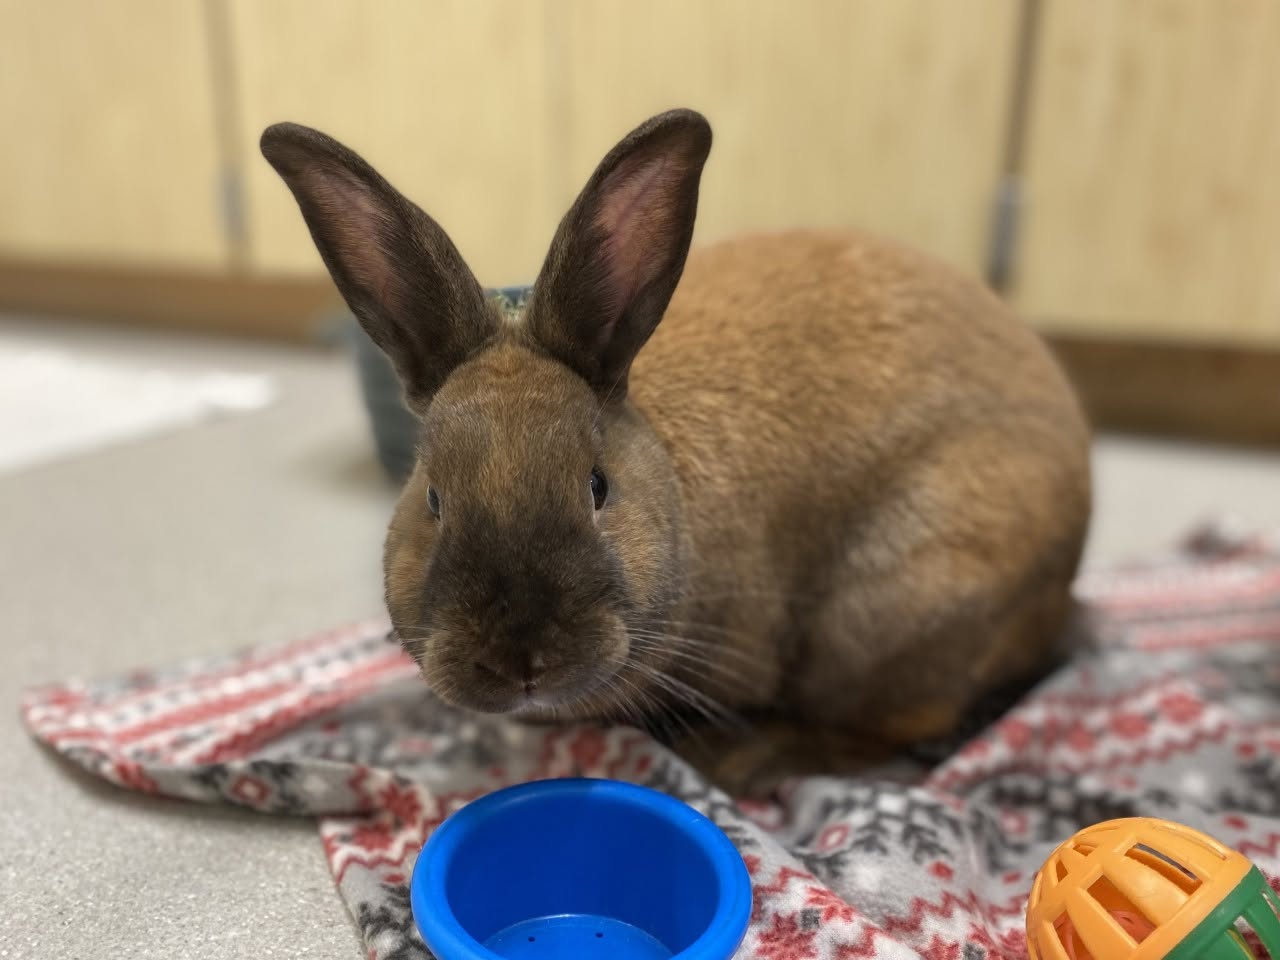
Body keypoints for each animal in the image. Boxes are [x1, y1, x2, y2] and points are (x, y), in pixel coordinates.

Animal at [261, 109, 1091, 792]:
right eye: (432, 497)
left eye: (597, 488)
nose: (520, 662)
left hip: (893, 615)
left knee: (895, 732)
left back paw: (745, 759)